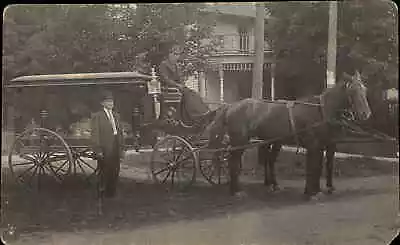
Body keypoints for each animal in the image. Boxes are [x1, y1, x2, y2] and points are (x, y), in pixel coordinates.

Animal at [206, 72, 372, 199]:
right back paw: (236, 191)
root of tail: (231, 106)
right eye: (353, 91)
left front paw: (316, 190)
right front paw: (311, 192)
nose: (366, 114)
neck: (321, 110)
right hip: (240, 141)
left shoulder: (323, 145)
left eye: (364, 89)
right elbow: (313, 167)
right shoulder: (313, 145)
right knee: (233, 163)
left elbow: (318, 167)